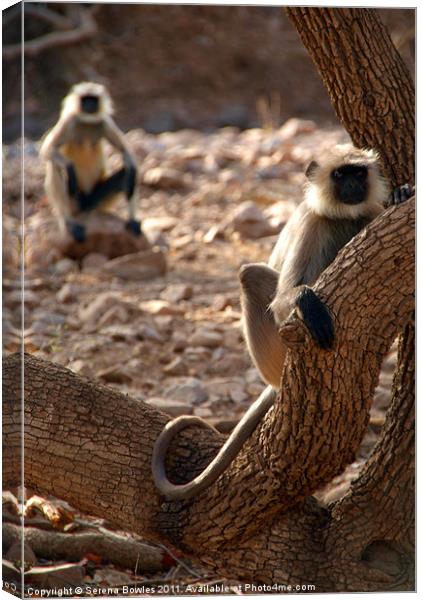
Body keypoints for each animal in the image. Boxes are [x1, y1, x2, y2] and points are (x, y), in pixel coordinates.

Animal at [39, 82, 139, 244]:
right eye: (85, 98)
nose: (89, 105)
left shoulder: (105, 122)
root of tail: (85, 204)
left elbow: (126, 153)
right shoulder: (70, 120)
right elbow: (47, 149)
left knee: (129, 172)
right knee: (54, 166)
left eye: (93, 99)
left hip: (98, 202)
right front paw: (70, 169)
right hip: (74, 201)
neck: (87, 122)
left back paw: (132, 219)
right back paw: (69, 222)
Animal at [152, 144, 412, 502]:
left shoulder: (370, 216)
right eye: (339, 174)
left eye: (358, 172)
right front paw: (306, 301)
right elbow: (284, 296)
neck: (344, 216)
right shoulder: (312, 223)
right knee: (251, 275)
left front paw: (401, 194)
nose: (352, 186)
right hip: (278, 347)